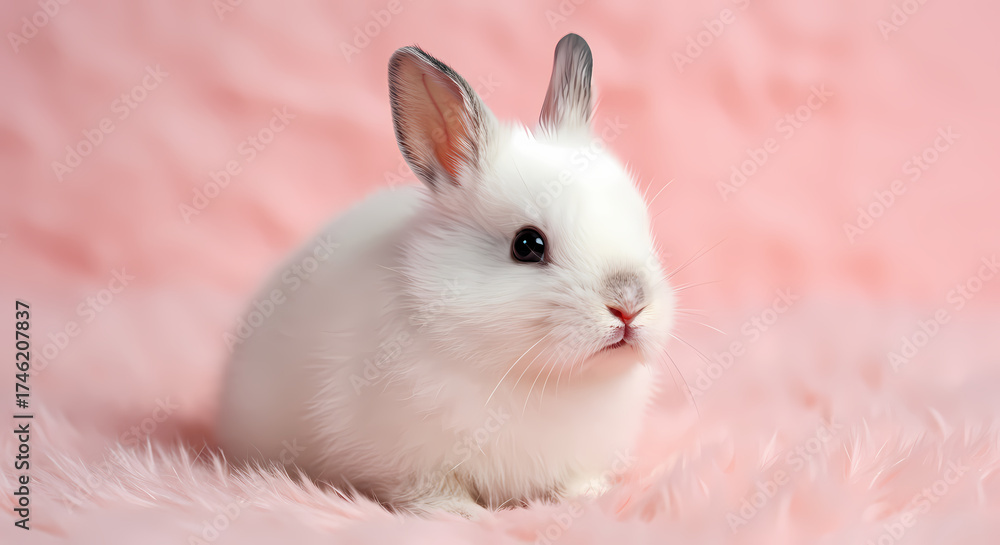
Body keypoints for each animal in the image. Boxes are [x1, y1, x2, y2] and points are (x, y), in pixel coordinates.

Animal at [217, 33, 675, 518]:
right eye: (527, 245)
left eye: (643, 227)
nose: (629, 304)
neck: (537, 378)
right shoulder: (409, 462)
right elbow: (430, 490)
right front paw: (460, 514)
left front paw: (589, 496)